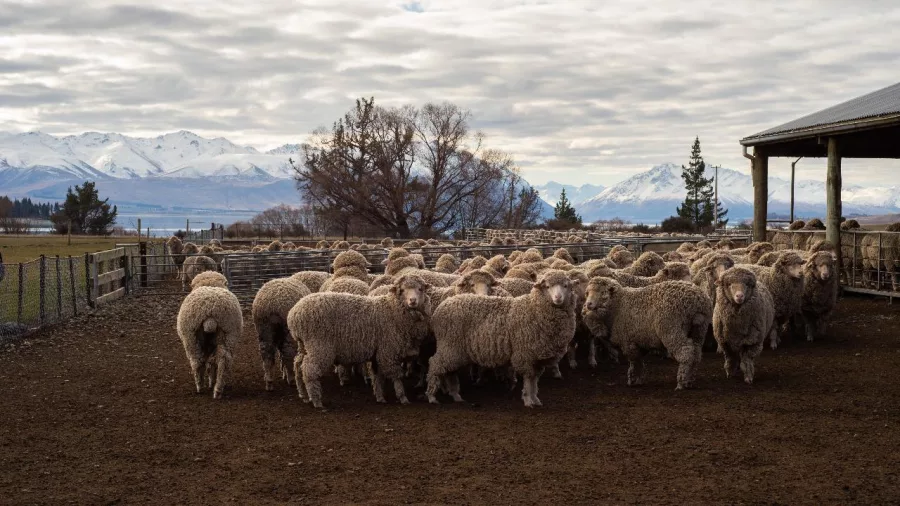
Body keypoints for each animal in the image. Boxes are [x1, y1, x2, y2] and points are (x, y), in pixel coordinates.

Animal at [288, 274, 432, 408]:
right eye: (402, 290)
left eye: (420, 289)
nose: (412, 300)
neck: (392, 310)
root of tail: (294, 314)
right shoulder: (389, 352)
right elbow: (396, 377)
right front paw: (403, 397)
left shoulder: (378, 353)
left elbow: (377, 377)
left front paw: (380, 397)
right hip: (319, 346)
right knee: (309, 371)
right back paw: (317, 401)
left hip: (304, 346)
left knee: (298, 365)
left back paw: (304, 395)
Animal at [426, 270, 579, 407]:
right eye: (547, 286)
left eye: (566, 286)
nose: (558, 297)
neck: (534, 309)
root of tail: (441, 307)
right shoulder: (525, 354)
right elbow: (528, 379)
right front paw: (528, 400)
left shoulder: (537, 358)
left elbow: (534, 380)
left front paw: (535, 399)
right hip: (449, 345)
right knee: (435, 364)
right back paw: (432, 395)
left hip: (453, 350)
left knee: (449, 370)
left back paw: (455, 395)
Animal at [581, 278, 712, 390]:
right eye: (587, 293)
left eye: (602, 292)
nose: (589, 304)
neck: (619, 305)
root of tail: (697, 301)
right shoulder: (639, 341)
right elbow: (639, 360)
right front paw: (638, 379)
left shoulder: (628, 341)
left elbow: (634, 361)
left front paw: (633, 380)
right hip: (699, 330)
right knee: (696, 353)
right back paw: (690, 381)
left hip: (671, 329)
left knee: (686, 352)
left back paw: (681, 382)